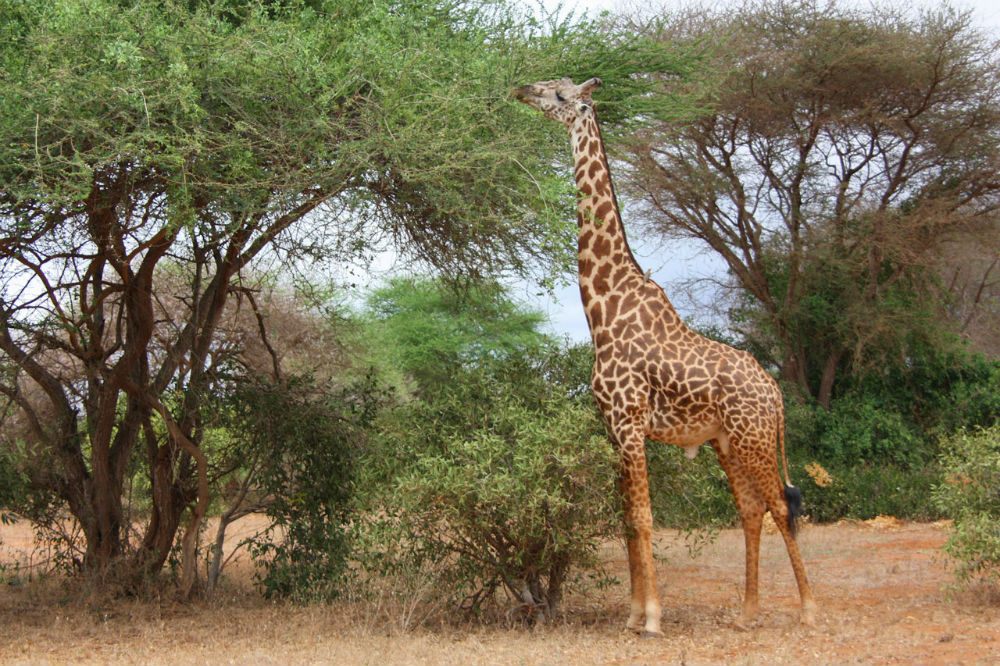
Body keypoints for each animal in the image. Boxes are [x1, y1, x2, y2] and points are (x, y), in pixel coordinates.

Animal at [514, 77, 817, 636]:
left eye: (562, 96)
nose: (523, 89)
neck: (602, 308)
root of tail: (775, 392)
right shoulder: (612, 427)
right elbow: (626, 521)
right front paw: (634, 615)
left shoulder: (631, 423)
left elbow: (644, 517)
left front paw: (653, 618)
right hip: (728, 442)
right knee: (751, 510)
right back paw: (747, 613)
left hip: (754, 438)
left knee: (783, 507)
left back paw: (808, 609)